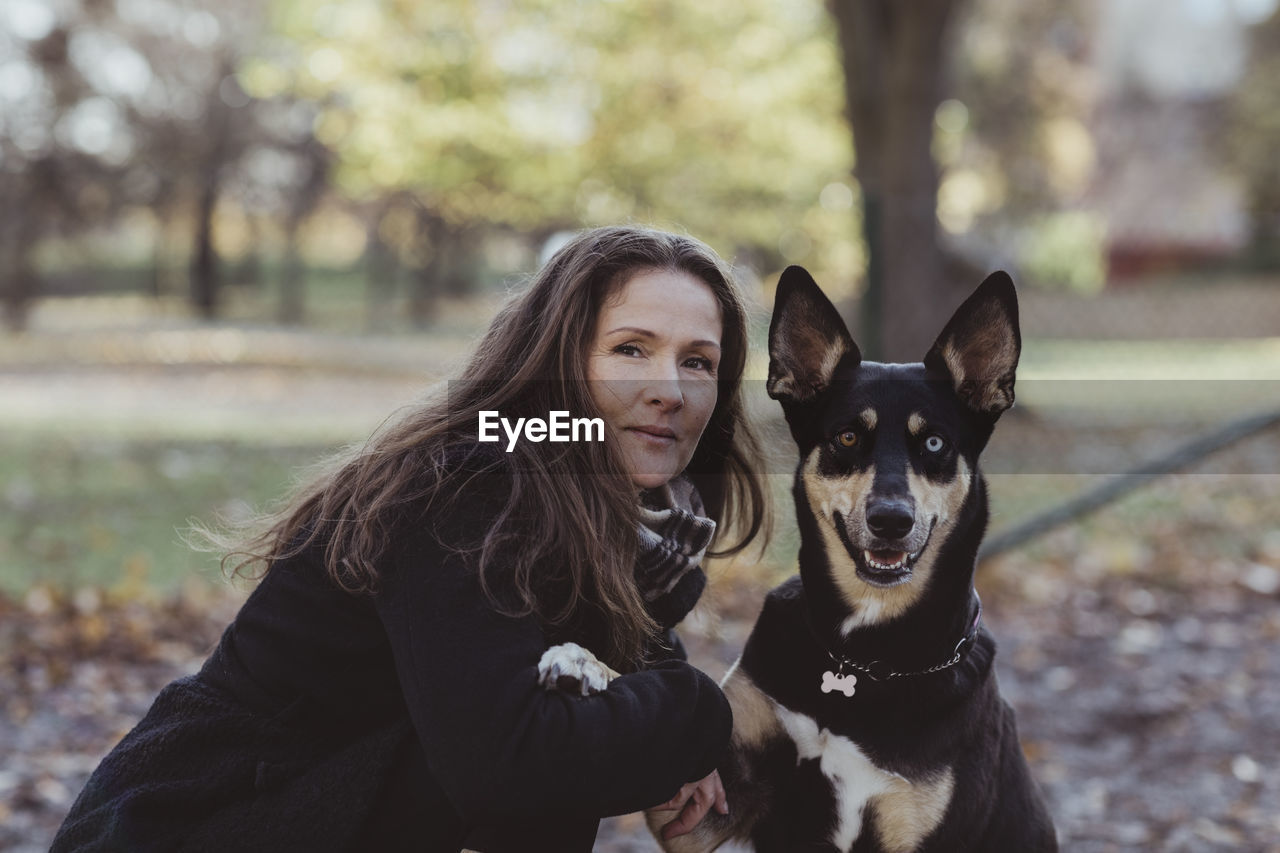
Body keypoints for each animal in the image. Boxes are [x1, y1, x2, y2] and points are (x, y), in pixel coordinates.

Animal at [545, 266, 1054, 850]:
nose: (891, 520)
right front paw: (584, 663)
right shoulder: (705, 804)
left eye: (933, 444)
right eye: (848, 436)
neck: (859, 660)